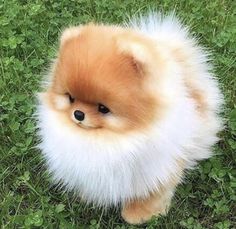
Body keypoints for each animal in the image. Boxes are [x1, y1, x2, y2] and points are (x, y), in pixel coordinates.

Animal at [37, 13, 223, 224]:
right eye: (70, 98)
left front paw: (139, 215)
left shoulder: (156, 169)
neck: (110, 138)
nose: (78, 114)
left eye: (103, 108)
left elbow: (152, 194)